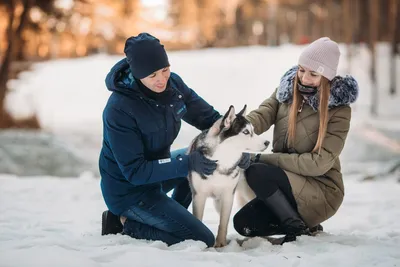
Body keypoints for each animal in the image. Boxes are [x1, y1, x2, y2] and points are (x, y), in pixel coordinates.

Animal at [188, 104, 268, 247]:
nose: (267, 142)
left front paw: (221, 244)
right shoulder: (199, 195)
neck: (222, 161)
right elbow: (198, 219)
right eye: (246, 132)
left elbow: (224, 223)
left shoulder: (227, 195)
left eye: (253, 130)